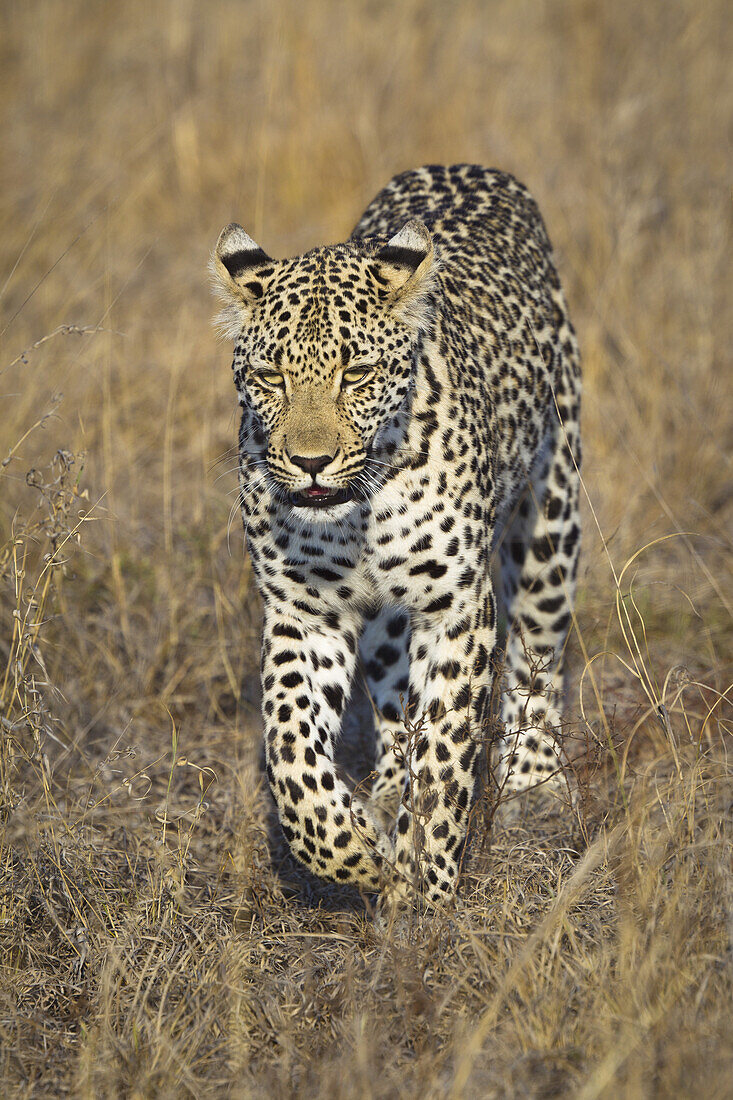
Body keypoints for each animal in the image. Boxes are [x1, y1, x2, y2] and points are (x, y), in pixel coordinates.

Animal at [212, 160, 581, 902]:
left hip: (550, 527)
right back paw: (382, 793)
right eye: (270, 376)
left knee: (537, 663)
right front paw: (354, 852)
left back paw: (533, 784)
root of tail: (465, 165)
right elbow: (291, 750)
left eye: (356, 374)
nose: (311, 461)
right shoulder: (304, 614)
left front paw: (426, 891)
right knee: (393, 711)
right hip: (386, 626)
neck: (359, 513)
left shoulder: (458, 610)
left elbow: (445, 758)